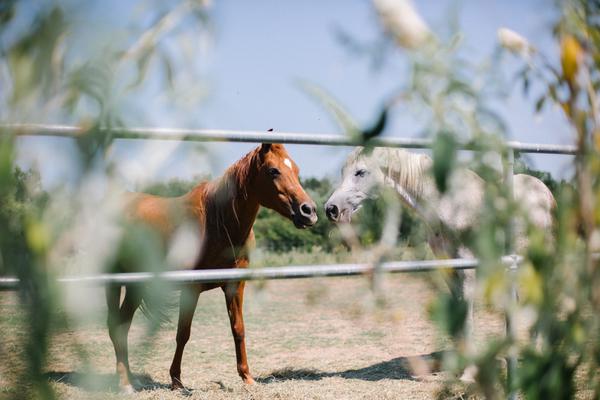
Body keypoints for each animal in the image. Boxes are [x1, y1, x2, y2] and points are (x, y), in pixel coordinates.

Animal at [106, 142, 318, 392]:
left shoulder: (235, 285)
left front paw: (247, 377)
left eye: (296, 169)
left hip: (134, 287)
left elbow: (238, 329)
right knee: (117, 327)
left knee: (122, 325)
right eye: (273, 170)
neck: (218, 221)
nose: (309, 211)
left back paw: (131, 378)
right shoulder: (191, 288)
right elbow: (183, 333)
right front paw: (176, 381)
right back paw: (124, 383)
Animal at [326, 146, 556, 376]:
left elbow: (467, 318)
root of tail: (545, 192)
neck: (450, 206)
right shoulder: (449, 270)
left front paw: (468, 373)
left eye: (361, 172)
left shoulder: (467, 268)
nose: (331, 209)